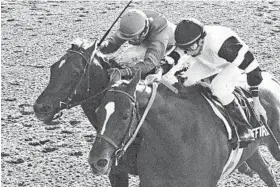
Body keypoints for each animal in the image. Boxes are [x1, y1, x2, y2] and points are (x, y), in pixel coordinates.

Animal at [88, 70, 278, 187]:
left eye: (126, 115)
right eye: (97, 112)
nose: (97, 161)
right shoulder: (151, 181)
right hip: (252, 153)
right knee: (267, 171)